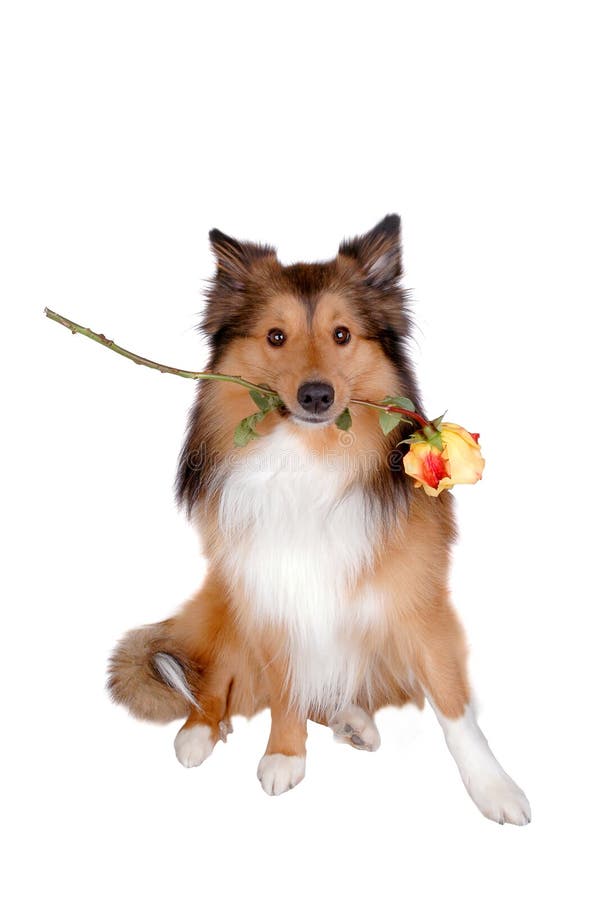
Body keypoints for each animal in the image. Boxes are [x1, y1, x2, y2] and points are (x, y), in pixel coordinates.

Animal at [108, 216, 528, 824]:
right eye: (276, 337)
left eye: (342, 335)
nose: (315, 395)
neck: (312, 455)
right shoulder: (271, 593)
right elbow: (285, 690)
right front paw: (284, 754)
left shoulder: (417, 603)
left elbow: (454, 705)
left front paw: (495, 789)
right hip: (227, 608)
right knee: (213, 684)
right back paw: (198, 732)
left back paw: (353, 720)